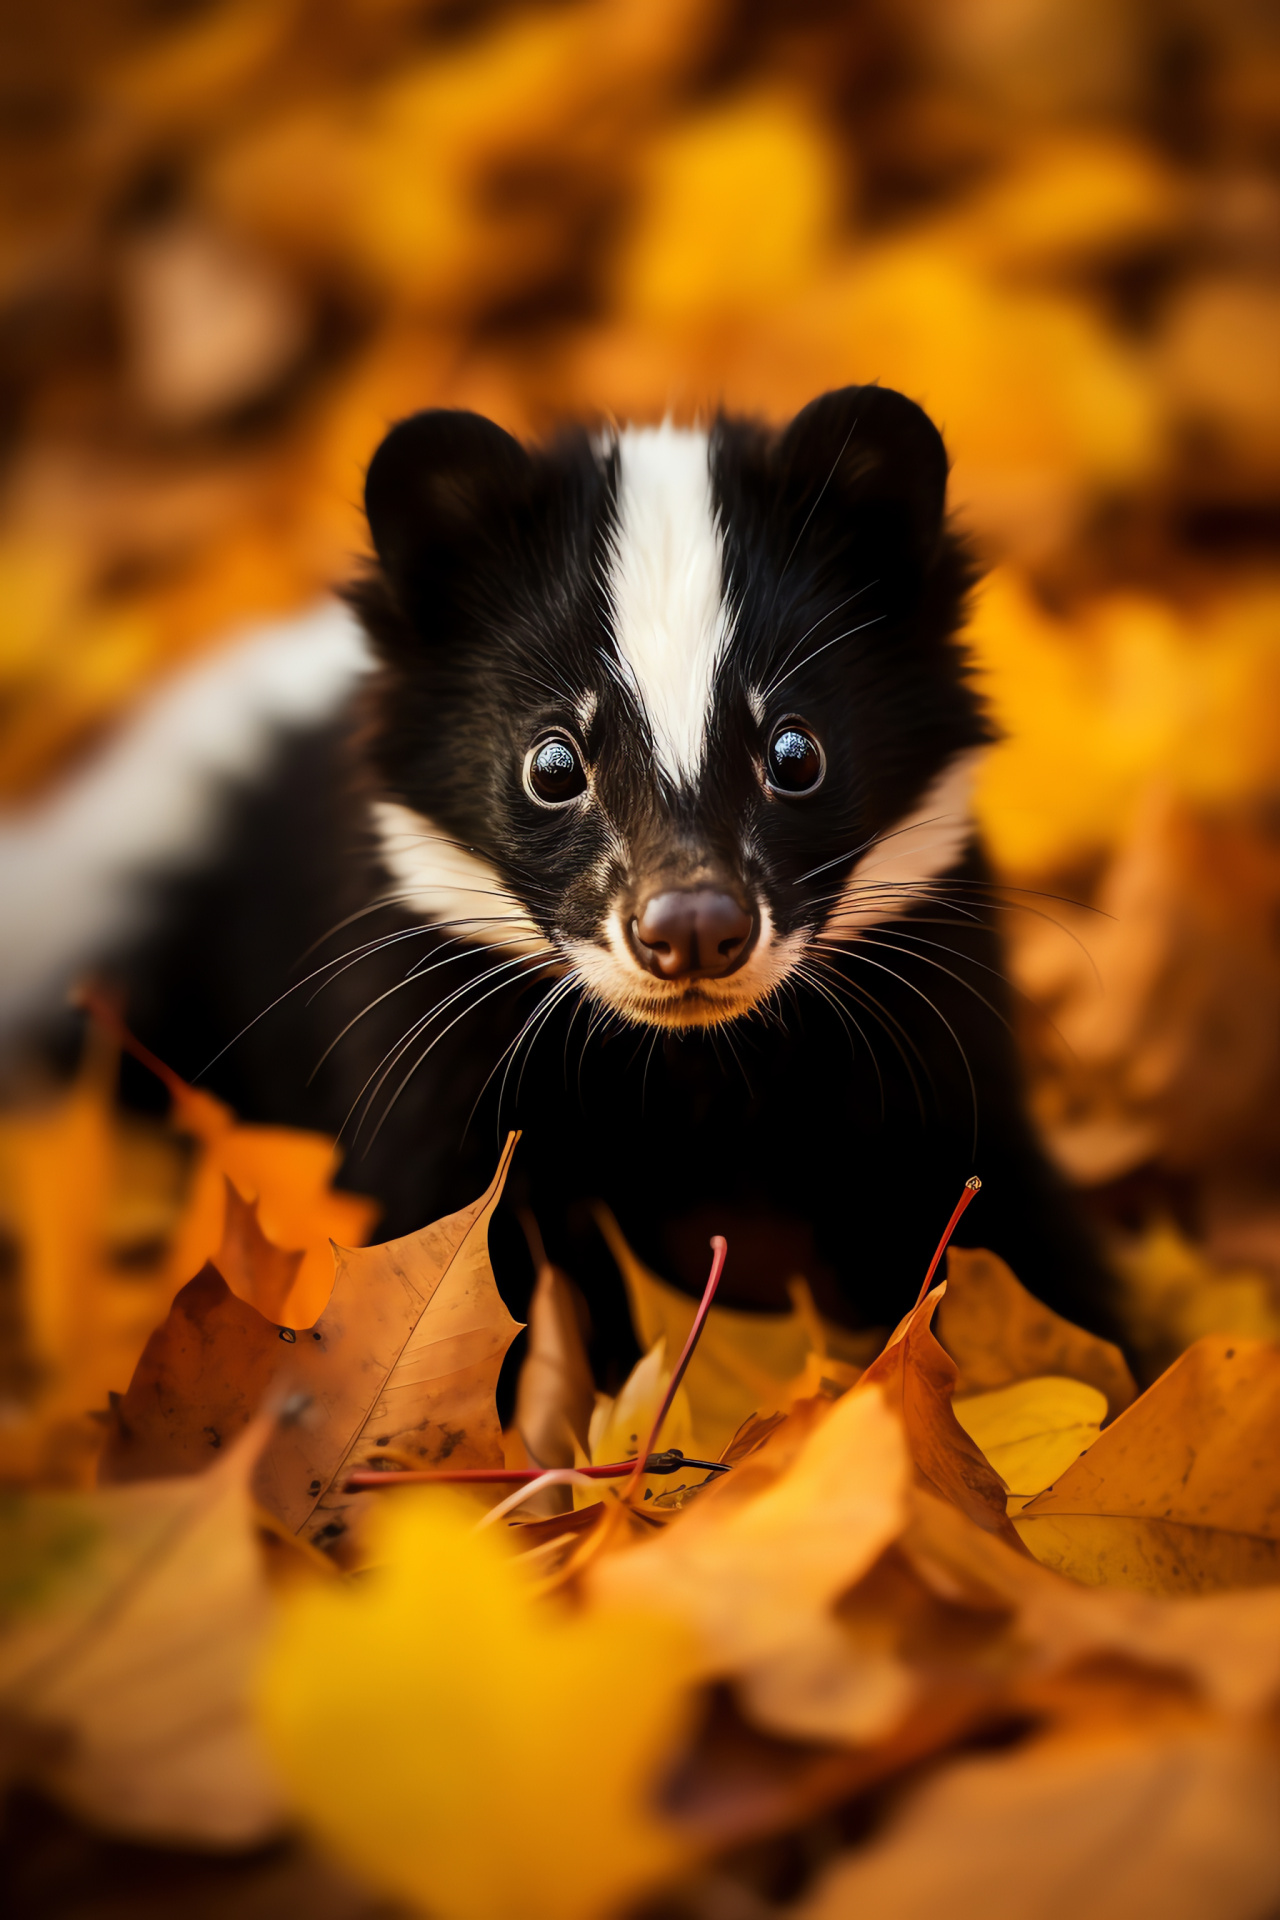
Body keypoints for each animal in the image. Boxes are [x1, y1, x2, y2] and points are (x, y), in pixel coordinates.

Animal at [14, 389, 1128, 1382]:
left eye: (795, 750)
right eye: (552, 765)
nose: (691, 924)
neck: (694, 1073)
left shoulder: (921, 1019)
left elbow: (985, 1213)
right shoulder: (429, 1047)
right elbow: (458, 1233)